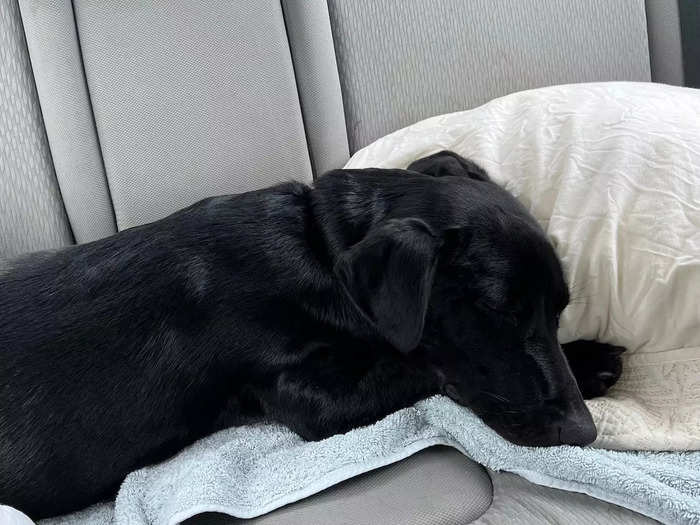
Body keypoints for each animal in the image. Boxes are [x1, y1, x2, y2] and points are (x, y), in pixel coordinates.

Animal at [0, 150, 624, 516]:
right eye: (498, 312)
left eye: (560, 308)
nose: (584, 431)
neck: (318, 246)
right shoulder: (307, 398)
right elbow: (418, 364)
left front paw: (590, 357)